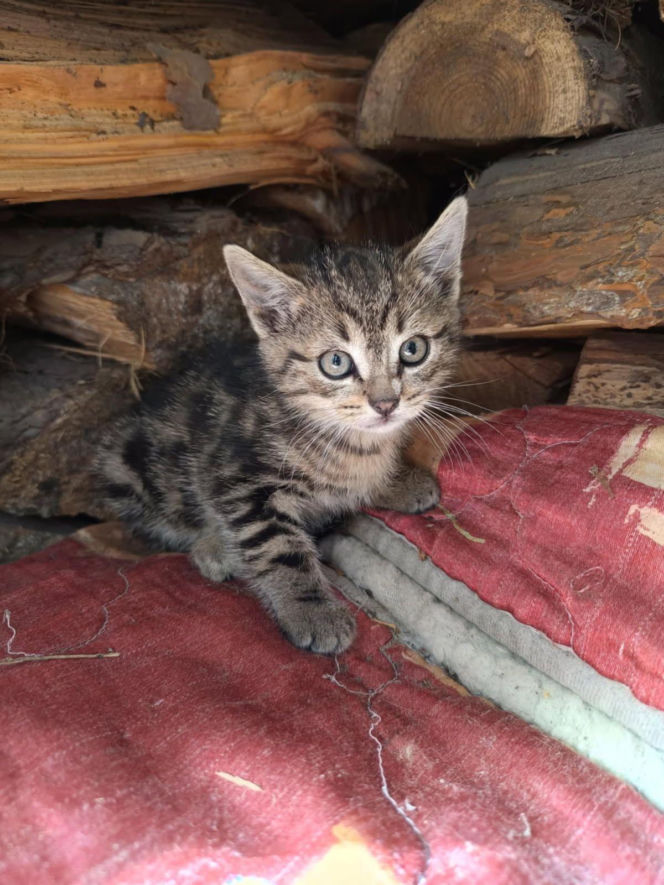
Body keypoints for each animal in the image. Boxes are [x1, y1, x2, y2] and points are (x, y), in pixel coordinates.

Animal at [96, 196, 468, 654]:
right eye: (336, 362)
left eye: (413, 349)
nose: (385, 403)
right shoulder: (238, 477)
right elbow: (276, 544)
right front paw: (313, 610)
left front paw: (394, 480)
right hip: (126, 466)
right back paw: (213, 548)